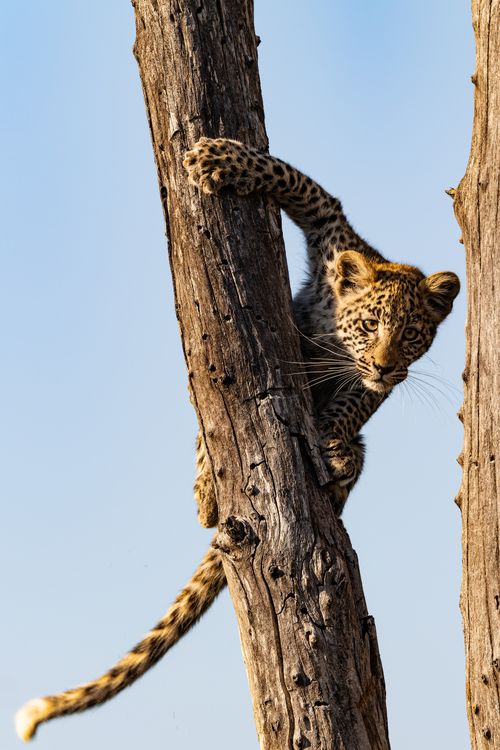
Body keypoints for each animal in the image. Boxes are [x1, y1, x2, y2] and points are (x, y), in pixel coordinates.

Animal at [15, 138, 459, 742]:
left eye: (412, 335)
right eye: (370, 325)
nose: (387, 365)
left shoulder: (372, 384)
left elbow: (356, 402)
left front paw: (332, 434)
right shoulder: (331, 231)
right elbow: (296, 182)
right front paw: (219, 159)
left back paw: (340, 461)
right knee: (201, 428)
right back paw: (206, 492)